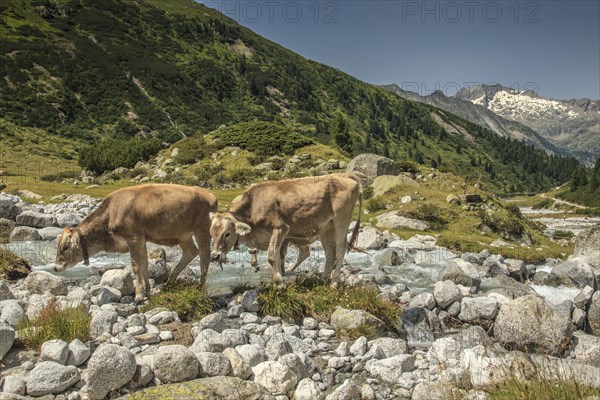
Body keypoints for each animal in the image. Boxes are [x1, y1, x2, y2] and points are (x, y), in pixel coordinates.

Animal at [54, 184, 218, 304]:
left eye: (65, 247)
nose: (55, 267)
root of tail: (209, 194)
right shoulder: (142, 239)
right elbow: (144, 264)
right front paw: (147, 290)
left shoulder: (133, 237)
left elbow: (135, 266)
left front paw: (138, 296)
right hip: (183, 235)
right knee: (191, 252)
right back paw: (168, 282)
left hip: (202, 230)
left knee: (205, 256)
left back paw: (200, 285)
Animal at [209, 173, 364, 286]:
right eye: (212, 233)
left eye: (227, 234)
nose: (214, 256)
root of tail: (344, 174)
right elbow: (278, 257)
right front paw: (278, 278)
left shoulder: (281, 228)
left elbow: (272, 257)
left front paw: (279, 283)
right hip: (327, 227)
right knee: (330, 252)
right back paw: (324, 279)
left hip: (341, 220)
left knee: (341, 249)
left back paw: (334, 283)